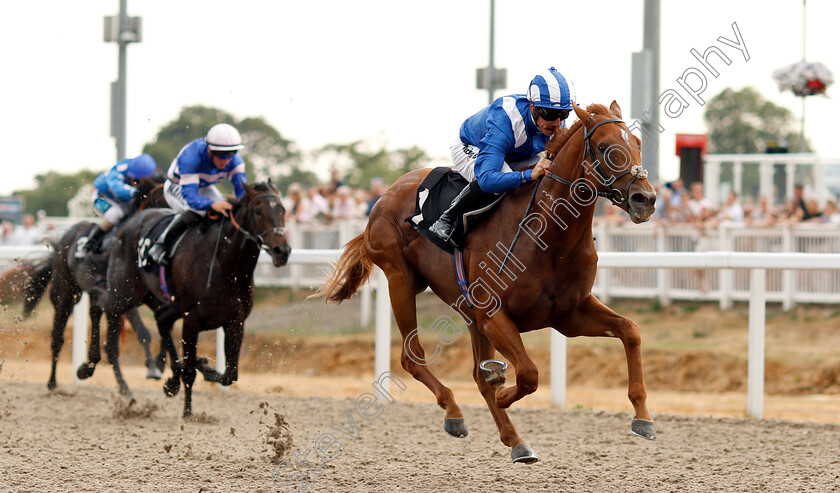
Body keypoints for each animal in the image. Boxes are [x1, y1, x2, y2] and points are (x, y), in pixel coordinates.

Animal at [318, 102, 660, 464]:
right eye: (605, 146)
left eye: (637, 142)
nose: (646, 199)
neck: (548, 237)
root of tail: (385, 194)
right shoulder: (495, 315)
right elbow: (528, 374)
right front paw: (503, 393)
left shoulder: (568, 314)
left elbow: (630, 331)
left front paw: (643, 418)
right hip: (401, 279)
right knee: (412, 357)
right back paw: (455, 412)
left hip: (468, 312)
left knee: (476, 374)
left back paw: (515, 440)